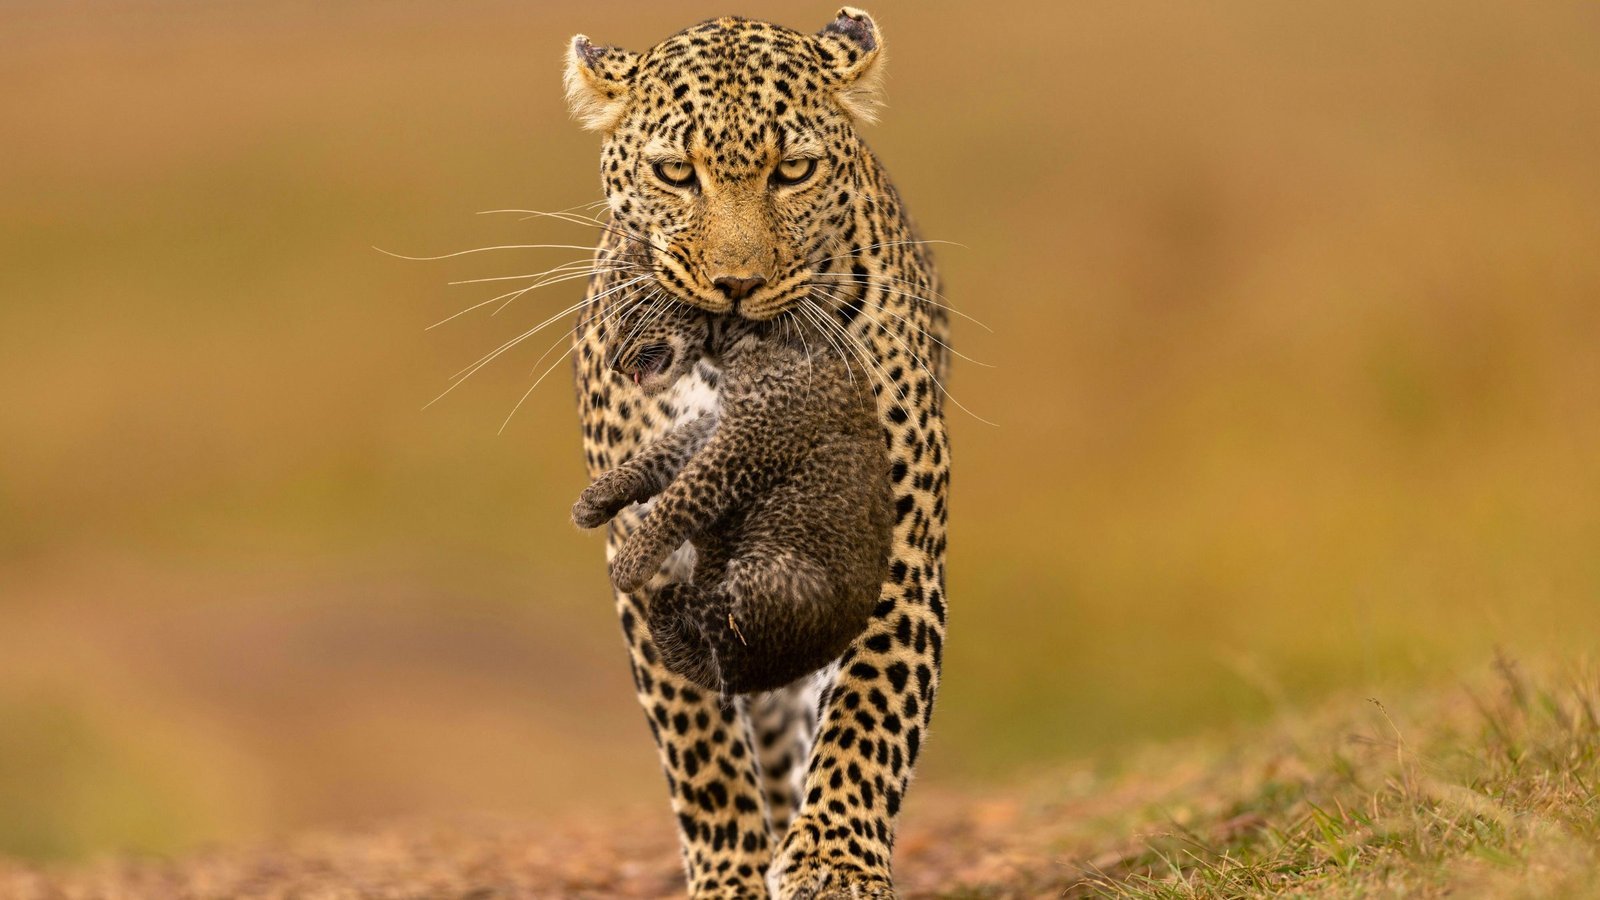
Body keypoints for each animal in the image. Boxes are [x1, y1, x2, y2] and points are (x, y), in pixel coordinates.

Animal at [570, 301, 893, 696]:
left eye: (634, 314)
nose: (613, 362)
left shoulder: (751, 435)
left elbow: (687, 490)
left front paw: (632, 561)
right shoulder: (722, 422)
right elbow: (665, 452)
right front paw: (597, 498)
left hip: (773, 578)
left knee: (710, 617)